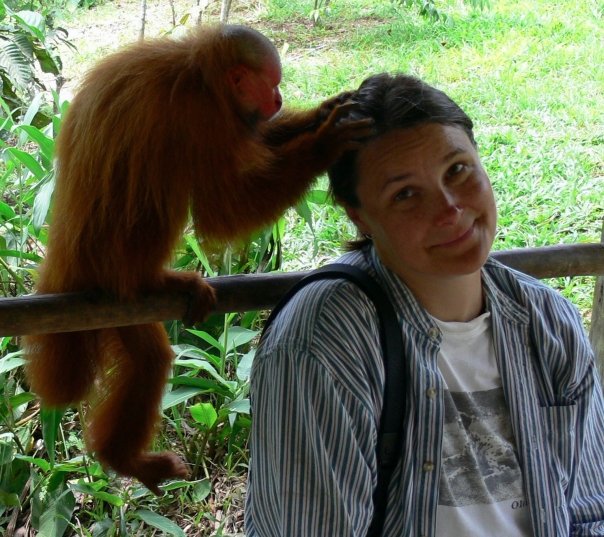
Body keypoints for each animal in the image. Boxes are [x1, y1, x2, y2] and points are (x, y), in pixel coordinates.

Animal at [24, 25, 372, 494]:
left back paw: (121, 457)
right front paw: (325, 142)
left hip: (111, 303)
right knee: (162, 183)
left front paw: (324, 111)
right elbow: (222, 208)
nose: (279, 99)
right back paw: (157, 281)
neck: (197, 73)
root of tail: (66, 262)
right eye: (271, 84)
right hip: (112, 263)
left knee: (148, 360)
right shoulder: (199, 116)